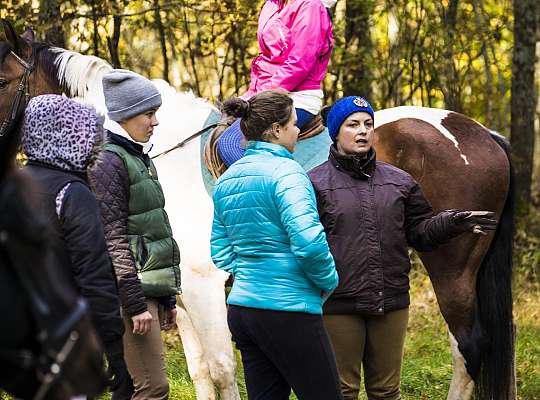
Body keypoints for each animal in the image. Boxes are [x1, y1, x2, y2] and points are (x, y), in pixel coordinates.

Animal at [0, 21, 512, 400]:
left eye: (2, 79)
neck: (156, 153)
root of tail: (479, 133)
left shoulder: (206, 289)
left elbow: (223, 370)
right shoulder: (181, 294)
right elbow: (202, 372)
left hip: (450, 265)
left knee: (468, 346)